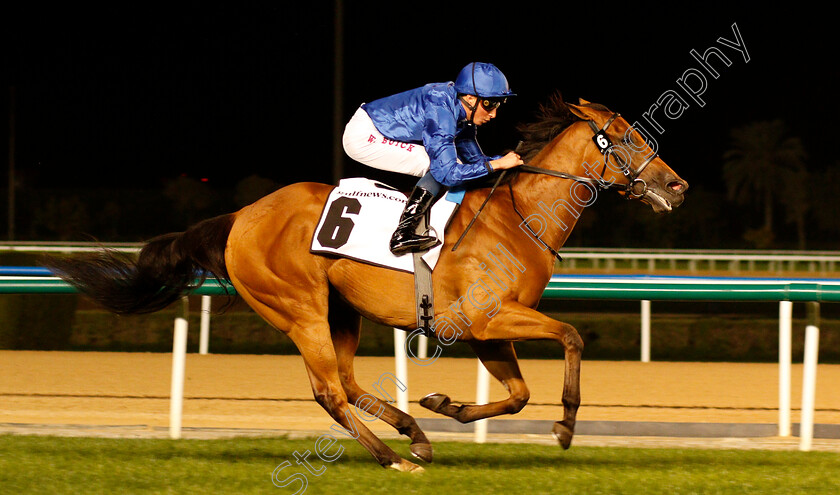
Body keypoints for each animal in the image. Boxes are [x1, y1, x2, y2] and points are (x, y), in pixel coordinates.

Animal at [42, 95, 688, 474]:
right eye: (628, 138)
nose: (677, 186)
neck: (519, 217)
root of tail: (240, 217)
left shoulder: (483, 331)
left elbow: (519, 393)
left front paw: (446, 404)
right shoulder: (487, 318)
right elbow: (572, 336)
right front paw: (565, 425)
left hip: (340, 309)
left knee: (348, 383)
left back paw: (414, 434)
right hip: (300, 308)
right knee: (329, 390)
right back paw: (392, 457)